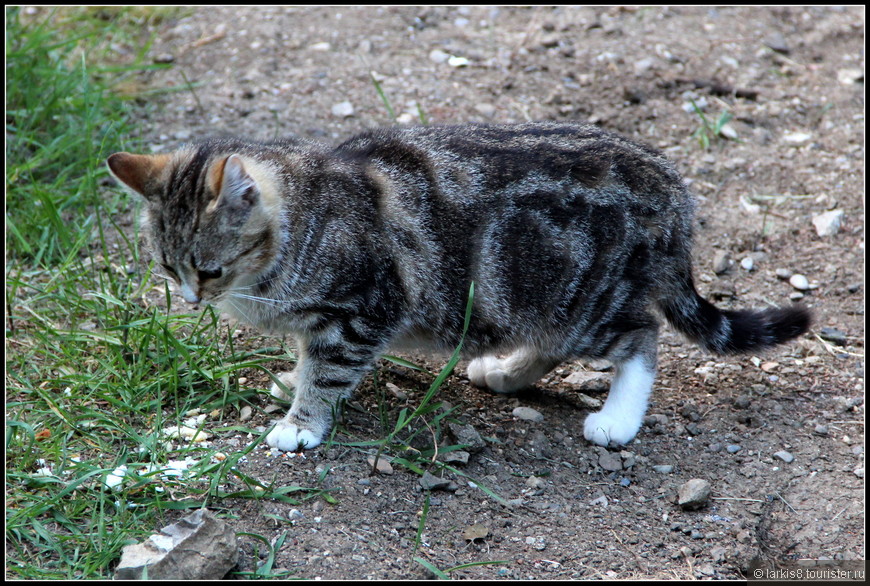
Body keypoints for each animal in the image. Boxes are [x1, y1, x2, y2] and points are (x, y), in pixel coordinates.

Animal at [107, 122, 812, 452]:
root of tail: (669, 185)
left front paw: (300, 423)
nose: (193, 301)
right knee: (554, 344)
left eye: (208, 269)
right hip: (534, 303)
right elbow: (307, 357)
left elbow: (327, 371)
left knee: (640, 335)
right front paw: (292, 378)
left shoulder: (364, 309)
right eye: (168, 269)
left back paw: (616, 418)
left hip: (572, 296)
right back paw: (504, 372)